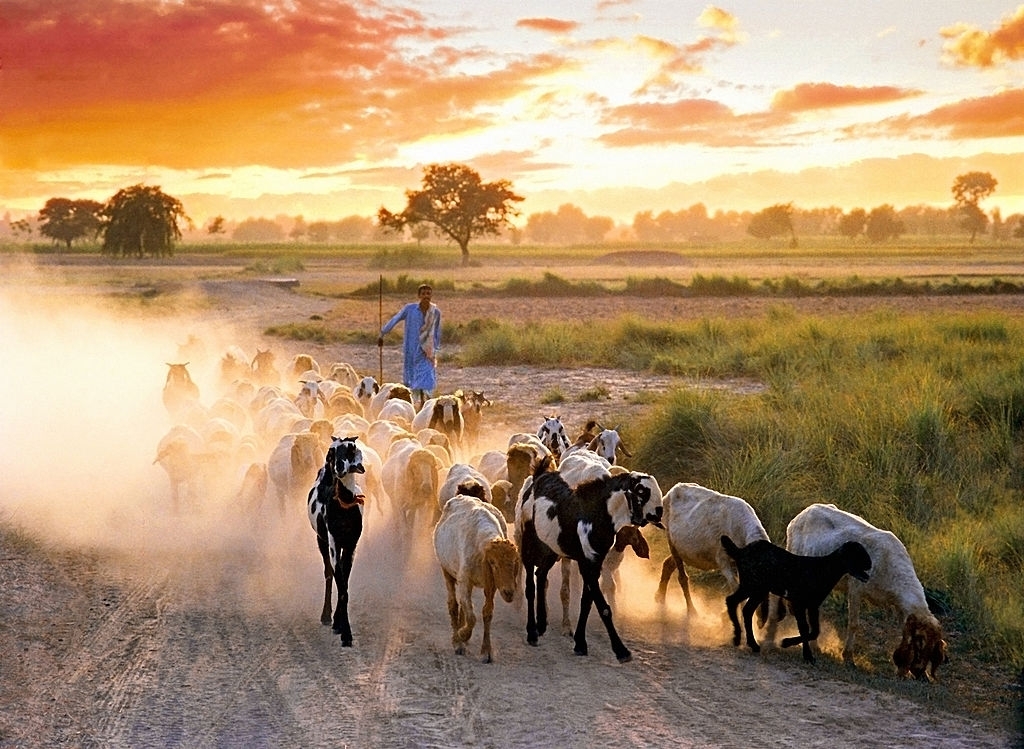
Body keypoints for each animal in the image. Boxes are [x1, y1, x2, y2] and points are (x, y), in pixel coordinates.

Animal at [307, 436, 368, 647]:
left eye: (351, 449)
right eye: (332, 452)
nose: (338, 467)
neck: (345, 505)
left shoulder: (351, 544)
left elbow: (345, 582)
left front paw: (341, 625)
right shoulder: (333, 541)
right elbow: (339, 582)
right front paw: (345, 633)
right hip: (321, 540)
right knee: (329, 573)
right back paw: (326, 616)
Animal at [430, 495, 520, 663]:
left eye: (514, 562)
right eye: (493, 563)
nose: (509, 592)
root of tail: (461, 496)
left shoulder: (491, 585)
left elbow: (487, 613)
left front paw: (486, 651)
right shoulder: (465, 580)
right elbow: (472, 617)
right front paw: (462, 635)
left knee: (463, 605)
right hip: (447, 570)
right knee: (453, 604)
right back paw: (457, 641)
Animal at [516, 456, 667, 663]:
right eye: (641, 491)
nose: (659, 512)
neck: (599, 514)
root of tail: (539, 475)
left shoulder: (594, 562)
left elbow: (586, 603)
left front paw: (580, 643)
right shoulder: (587, 562)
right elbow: (603, 607)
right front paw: (621, 651)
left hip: (552, 549)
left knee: (541, 575)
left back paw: (542, 624)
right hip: (528, 542)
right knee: (530, 585)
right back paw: (532, 632)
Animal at [655, 483, 770, 618]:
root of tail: (672, 491)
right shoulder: (723, 561)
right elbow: (736, 588)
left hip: (682, 550)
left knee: (668, 564)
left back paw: (659, 598)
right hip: (671, 541)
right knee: (682, 578)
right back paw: (691, 610)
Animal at [720, 536, 872, 663]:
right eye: (858, 554)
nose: (870, 564)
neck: (823, 570)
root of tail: (740, 552)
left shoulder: (813, 605)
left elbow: (815, 631)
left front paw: (792, 645)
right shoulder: (799, 603)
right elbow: (805, 629)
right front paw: (802, 652)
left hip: (756, 588)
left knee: (741, 607)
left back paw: (746, 641)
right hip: (753, 585)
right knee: (736, 603)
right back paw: (740, 638)